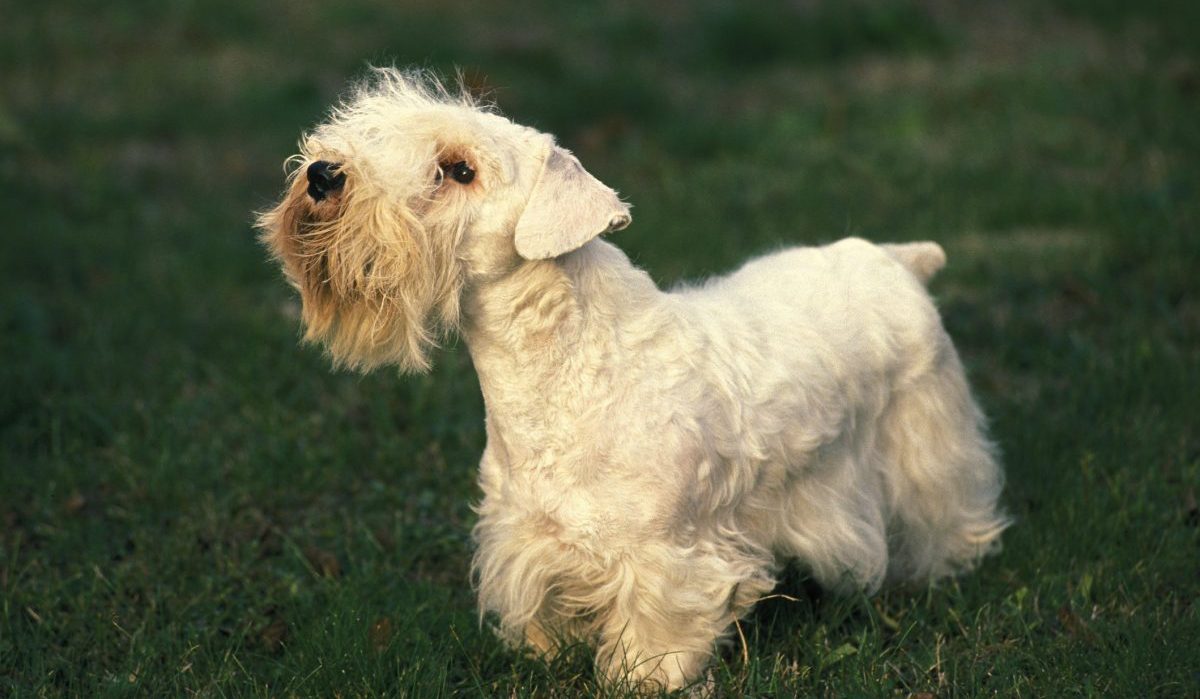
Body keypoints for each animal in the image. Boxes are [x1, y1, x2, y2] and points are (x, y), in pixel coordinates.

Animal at [258, 68, 1008, 691]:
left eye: (459, 169)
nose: (322, 174)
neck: (561, 372)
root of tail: (898, 260)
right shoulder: (527, 537)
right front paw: (546, 654)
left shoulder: (667, 557)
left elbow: (655, 631)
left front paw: (642, 677)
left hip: (927, 442)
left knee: (951, 511)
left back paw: (945, 573)